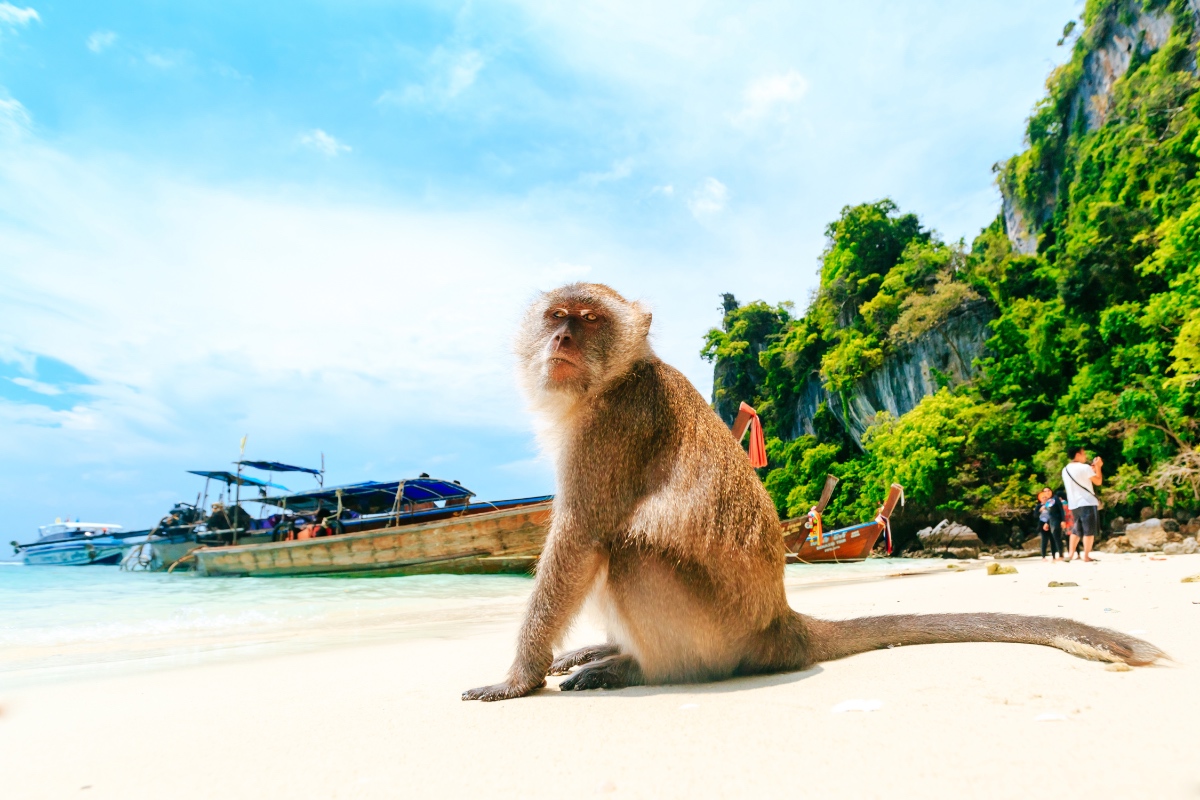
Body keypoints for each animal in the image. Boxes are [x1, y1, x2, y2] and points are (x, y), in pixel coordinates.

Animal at [460, 281, 1161, 700]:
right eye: (557, 317)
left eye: (588, 320)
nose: (562, 338)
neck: (611, 380)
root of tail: (780, 625)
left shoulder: (610, 429)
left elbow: (579, 539)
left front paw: (516, 680)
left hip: (715, 633)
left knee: (628, 549)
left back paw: (639, 668)